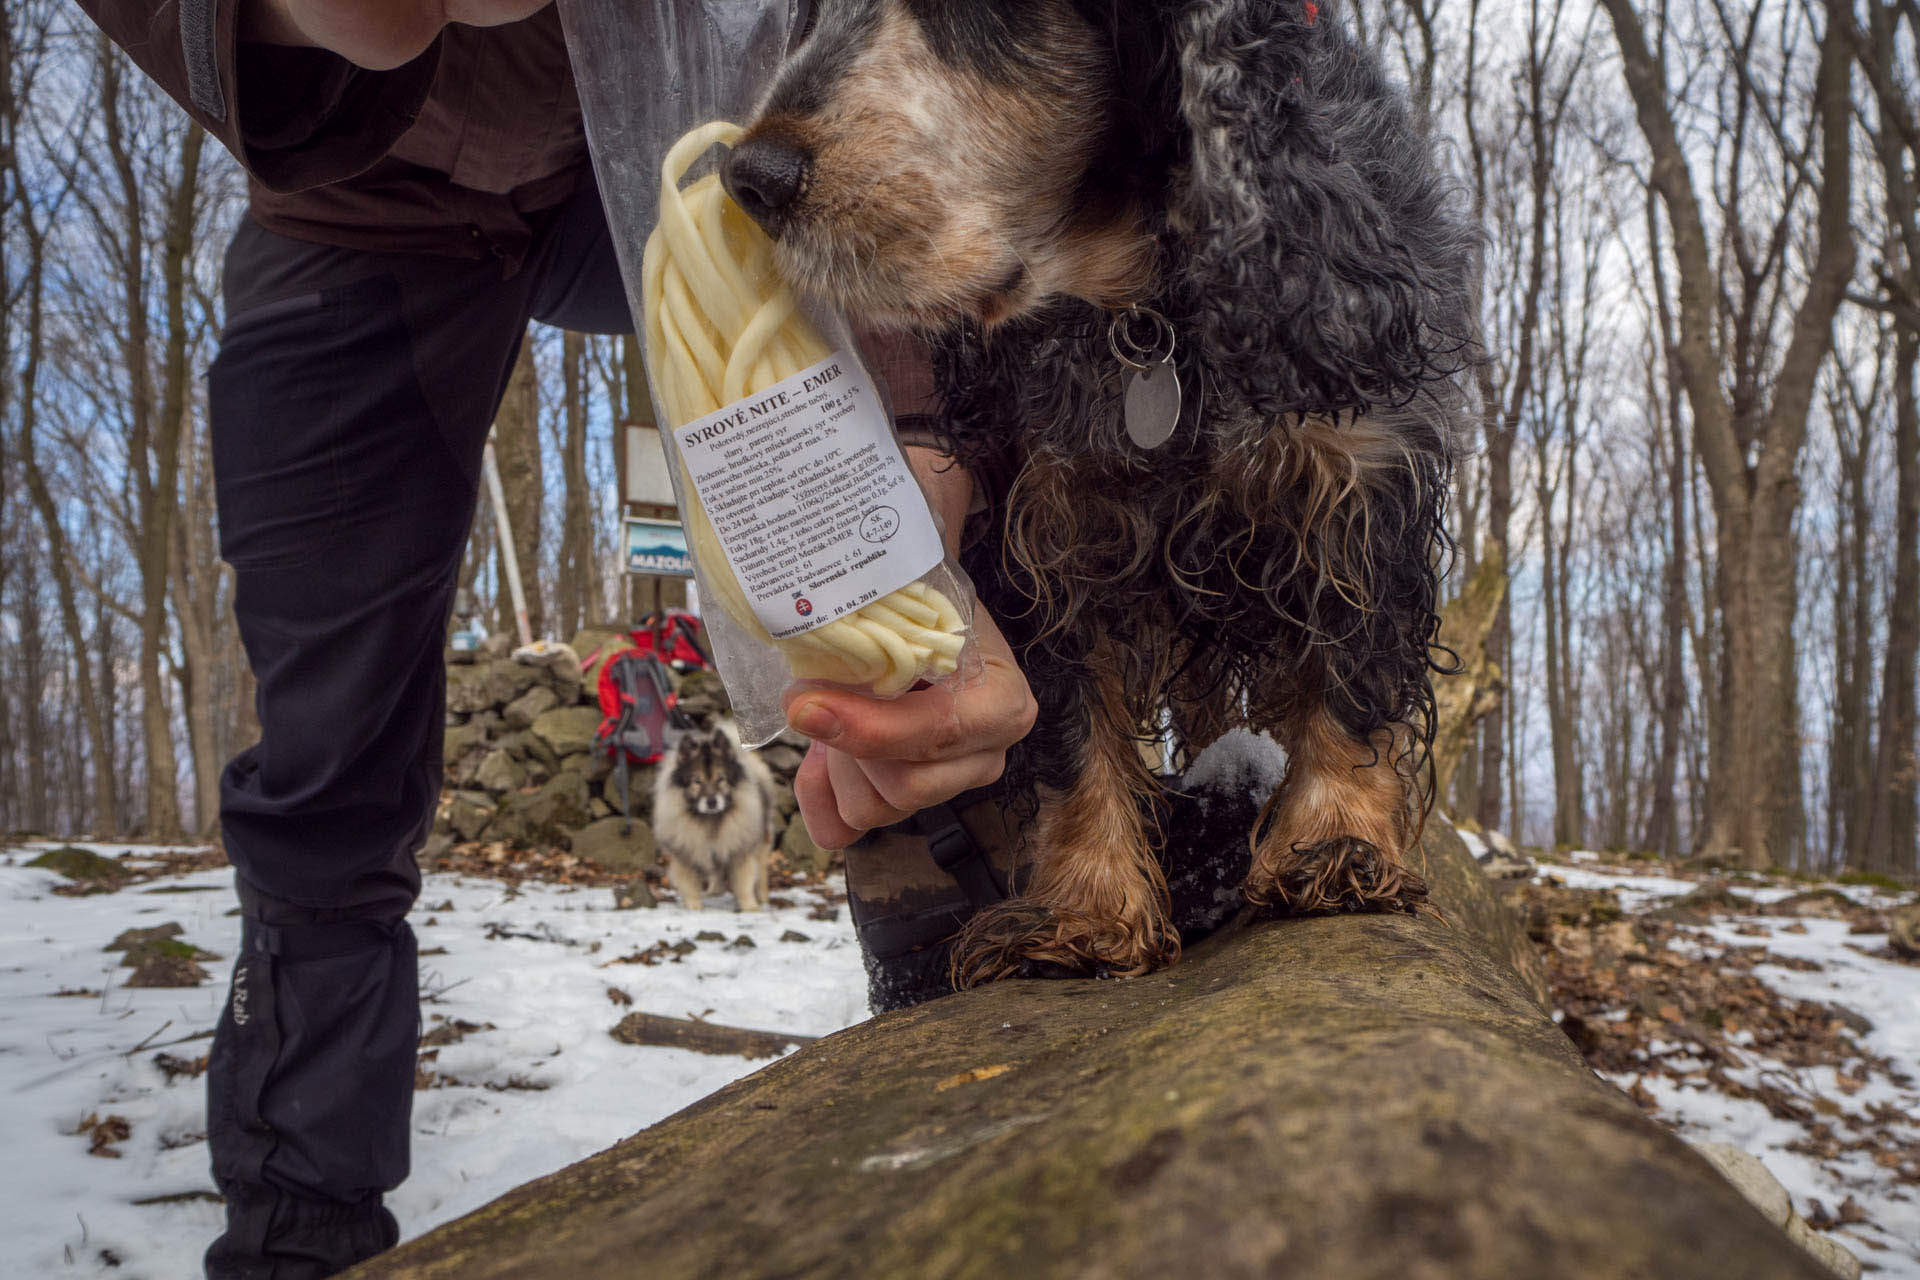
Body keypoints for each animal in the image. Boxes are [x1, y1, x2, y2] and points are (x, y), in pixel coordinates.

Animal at [652, 725, 779, 917]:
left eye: (721, 779)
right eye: (697, 781)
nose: (711, 801)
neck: (710, 821)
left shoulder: (740, 852)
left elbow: (745, 882)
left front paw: (750, 907)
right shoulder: (686, 855)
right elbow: (689, 886)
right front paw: (694, 907)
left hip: (761, 840)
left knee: (762, 870)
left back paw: (763, 897)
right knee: (717, 873)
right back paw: (714, 892)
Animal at [721, 0, 1482, 990]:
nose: (749, 178)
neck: (1144, 312)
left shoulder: (1365, 478)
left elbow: (1351, 679)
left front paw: (1336, 844)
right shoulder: (1041, 531)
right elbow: (1070, 733)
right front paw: (1086, 911)